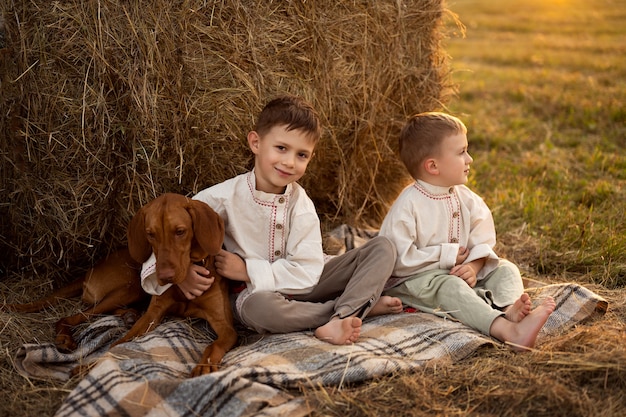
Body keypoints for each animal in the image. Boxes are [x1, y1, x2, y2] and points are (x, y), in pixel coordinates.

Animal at [4, 193, 236, 376]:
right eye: (150, 234)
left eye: (180, 231)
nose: (164, 276)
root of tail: (90, 269)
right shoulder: (151, 316)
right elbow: (117, 345)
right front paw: (89, 366)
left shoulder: (226, 326)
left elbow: (214, 345)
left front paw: (205, 365)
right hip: (131, 288)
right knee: (70, 318)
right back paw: (67, 338)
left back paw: (127, 315)